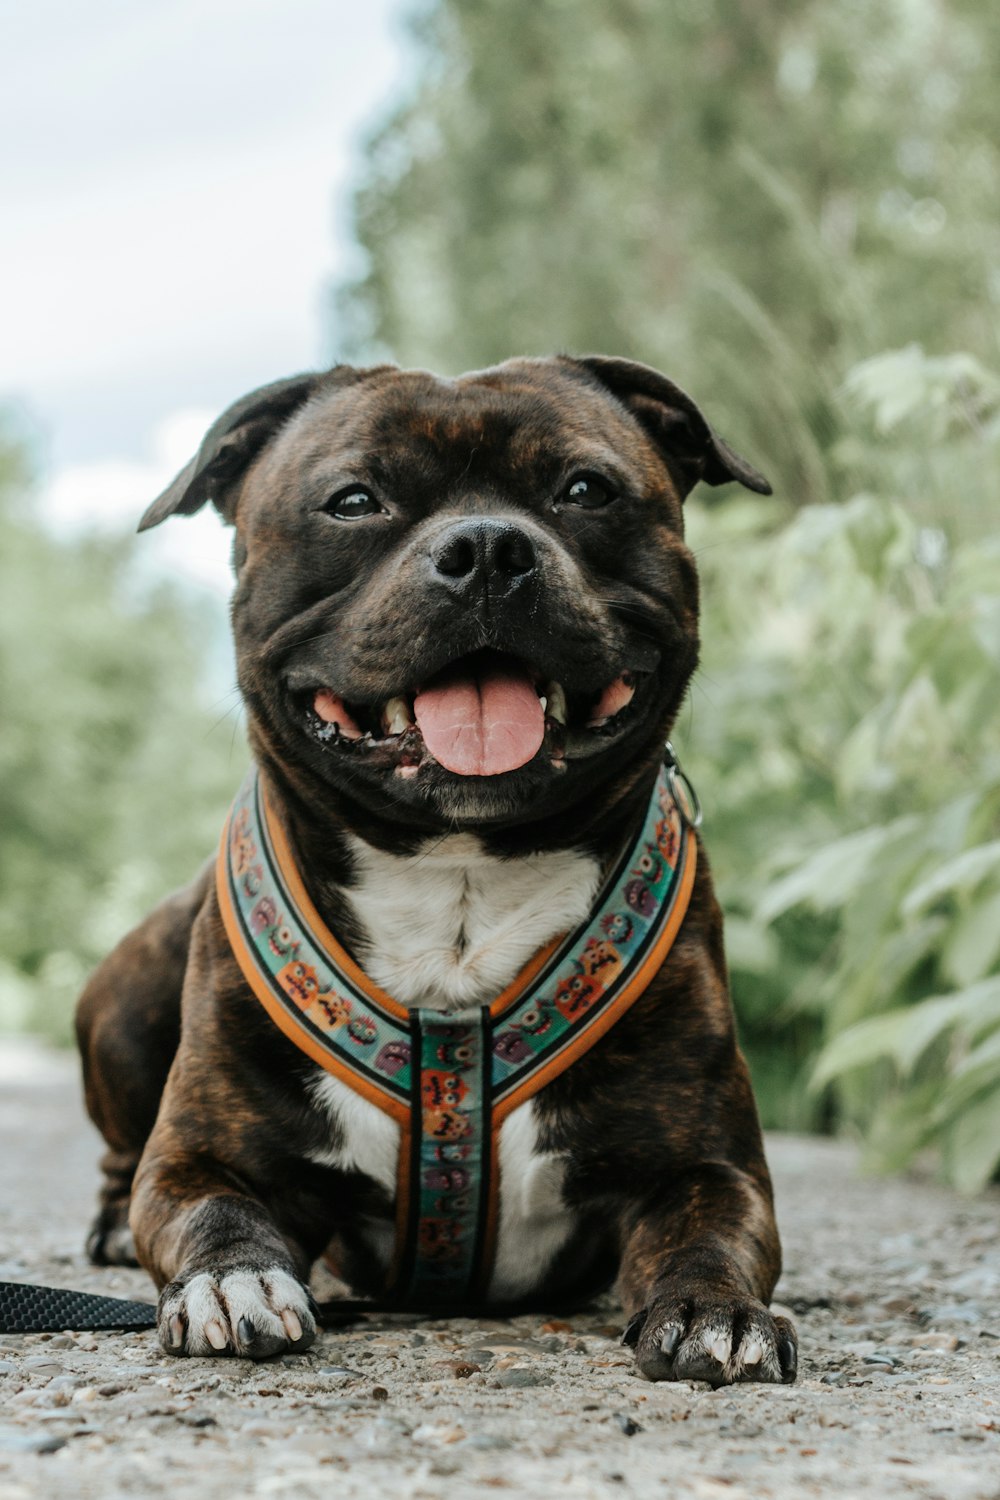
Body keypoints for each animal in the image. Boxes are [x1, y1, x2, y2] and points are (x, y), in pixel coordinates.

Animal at [74, 354, 803, 1380]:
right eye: (353, 501)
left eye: (585, 490)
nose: (489, 546)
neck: (458, 876)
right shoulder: (199, 1158)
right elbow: (210, 1208)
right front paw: (232, 1281)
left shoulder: (707, 1161)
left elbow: (711, 1227)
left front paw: (715, 1310)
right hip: (132, 993)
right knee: (117, 1157)